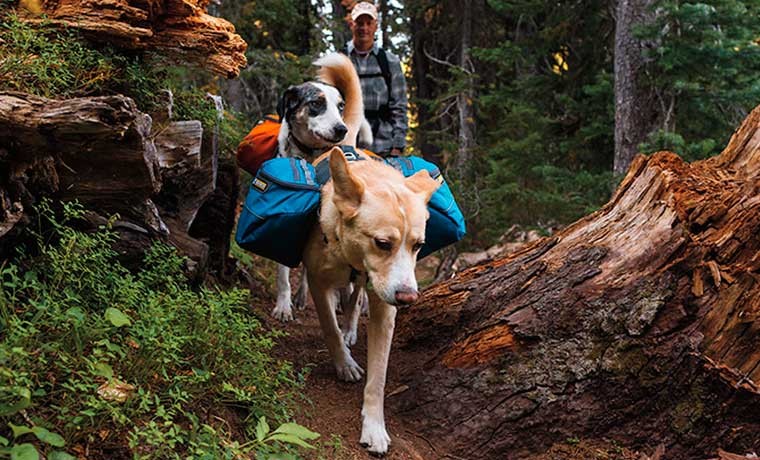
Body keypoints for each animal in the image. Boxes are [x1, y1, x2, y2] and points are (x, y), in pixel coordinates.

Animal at [272, 54, 372, 322]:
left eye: (340, 106)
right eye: (316, 103)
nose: (341, 129)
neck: (310, 156)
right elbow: (284, 273)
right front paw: (283, 306)